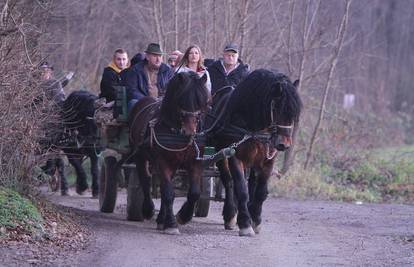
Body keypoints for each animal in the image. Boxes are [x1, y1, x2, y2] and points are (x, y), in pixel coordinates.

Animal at [128, 72, 209, 236]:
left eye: (203, 102)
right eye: (181, 99)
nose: (190, 131)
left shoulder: (195, 161)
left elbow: (194, 193)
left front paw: (183, 216)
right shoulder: (163, 162)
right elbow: (168, 193)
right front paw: (171, 224)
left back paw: (161, 219)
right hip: (140, 155)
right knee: (146, 180)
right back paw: (148, 210)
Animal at [206, 69, 300, 237]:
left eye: (294, 113)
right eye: (277, 108)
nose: (284, 144)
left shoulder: (268, 160)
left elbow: (260, 191)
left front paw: (256, 220)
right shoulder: (235, 156)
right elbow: (241, 190)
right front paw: (245, 224)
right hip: (221, 154)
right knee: (229, 181)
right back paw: (230, 214)